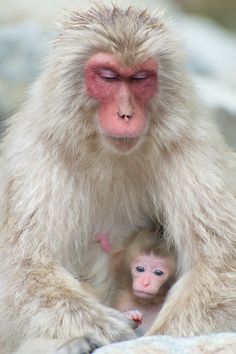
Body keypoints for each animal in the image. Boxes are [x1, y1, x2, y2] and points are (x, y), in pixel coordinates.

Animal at [0, 2, 236, 354]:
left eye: (139, 78)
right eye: (108, 77)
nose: (126, 114)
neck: (108, 154)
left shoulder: (193, 150)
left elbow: (221, 267)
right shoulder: (34, 157)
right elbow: (21, 270)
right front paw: (106, 329)